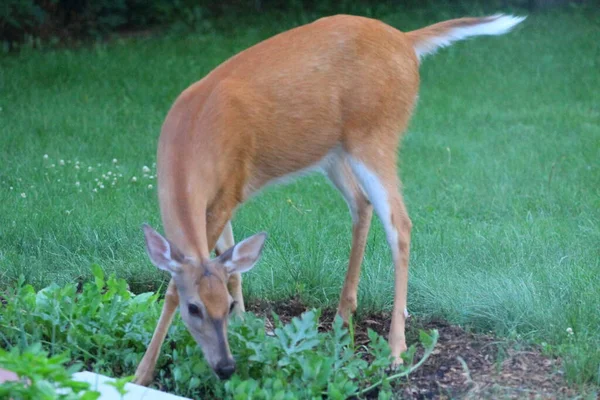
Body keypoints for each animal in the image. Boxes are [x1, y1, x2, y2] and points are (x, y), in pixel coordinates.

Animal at [135, 11, 524, 384]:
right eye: (197, 308)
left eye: (218, 308)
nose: (226, 367)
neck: (189, 142)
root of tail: (406, 40)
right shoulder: (225, 197)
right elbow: (228, 261)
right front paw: (247, 330)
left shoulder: (230, 188)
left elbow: (174, 286)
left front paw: (142, 372)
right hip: (334, 153)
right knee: (361, 204)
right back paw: (341, 320)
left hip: (375, 134)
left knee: (399, 223)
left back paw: (395, 351)